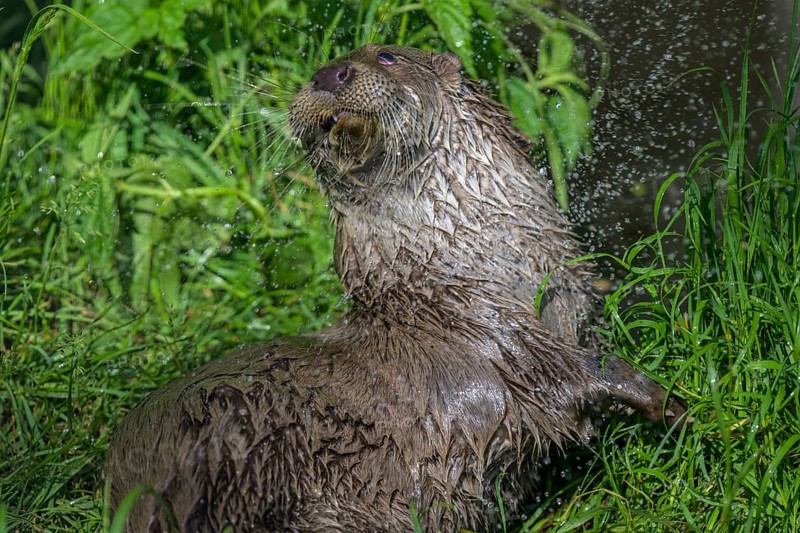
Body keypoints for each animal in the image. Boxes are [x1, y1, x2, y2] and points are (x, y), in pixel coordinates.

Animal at [105, 44, 686, 532]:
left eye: (385, 56)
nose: (328, 74)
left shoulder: (565, 298)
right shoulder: (493, 331)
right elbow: (580, 373)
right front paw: (677, 406)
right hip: (226, 429)